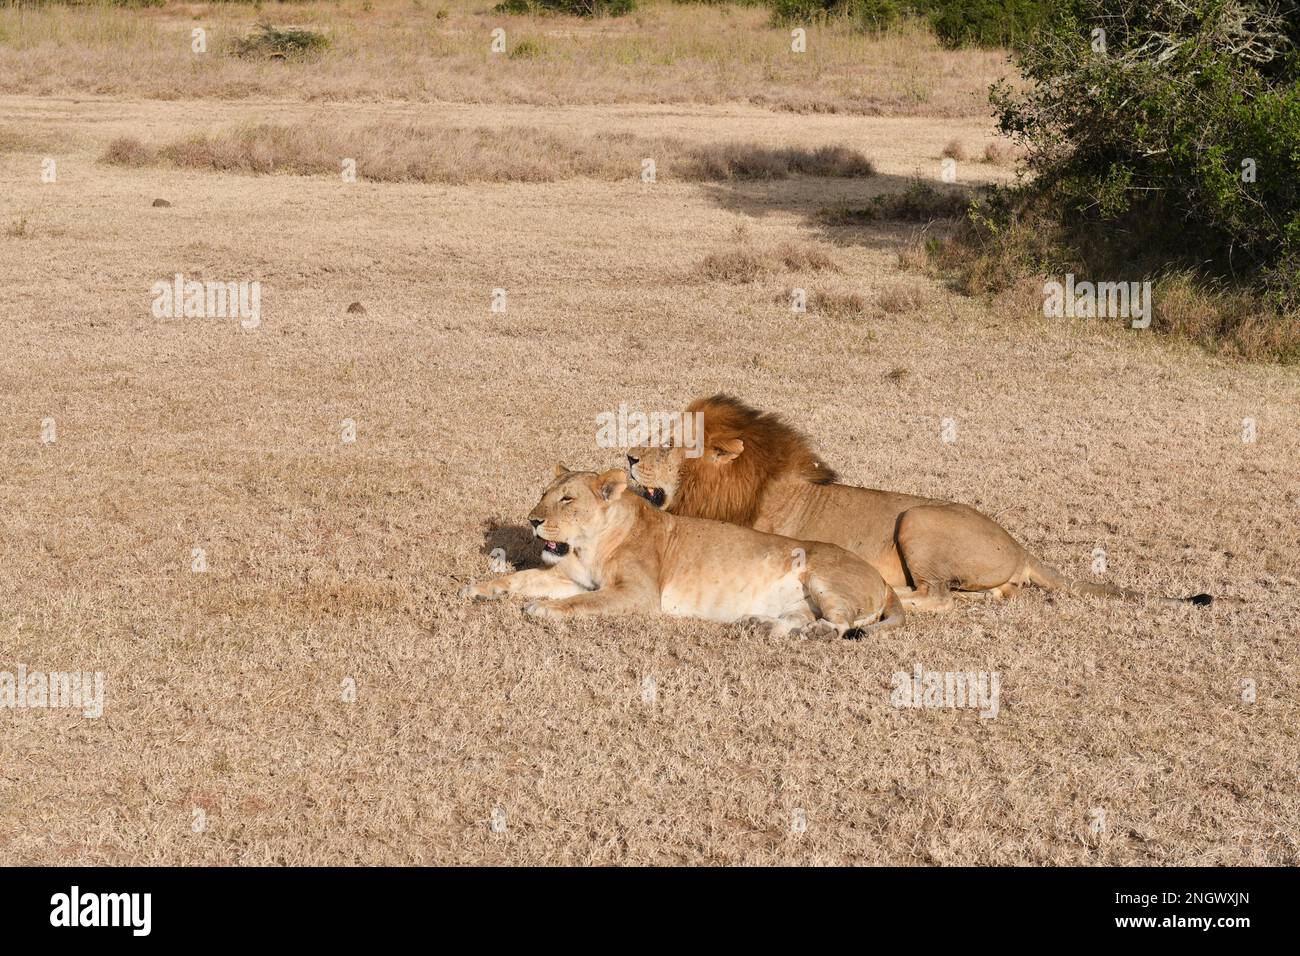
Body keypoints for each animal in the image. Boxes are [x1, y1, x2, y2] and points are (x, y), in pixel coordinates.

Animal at [461, 465, 904, 639]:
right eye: (544, 494)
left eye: (567, 499)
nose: (533, 520)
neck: (591, 547)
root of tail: (883, 581)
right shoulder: (568, 578)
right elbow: (520, 578)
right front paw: (479, 589)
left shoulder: (638, 594)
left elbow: (583, 603)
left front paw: (544, 609)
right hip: (800, 600)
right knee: (793, 620)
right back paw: (759, 624)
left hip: (824, 578)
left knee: (840, 623)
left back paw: (816, 633)